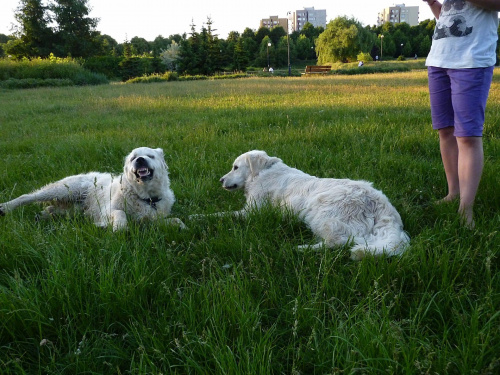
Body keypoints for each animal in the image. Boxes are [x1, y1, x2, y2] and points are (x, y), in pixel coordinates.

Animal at [0, 147, 186, 232]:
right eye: (133, 158)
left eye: (150, 156)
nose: (140, 160)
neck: (146, 197)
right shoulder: (108, 210)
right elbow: (120, 213)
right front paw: (119, 227)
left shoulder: (151, 219)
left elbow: (176, 220)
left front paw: (183, 227)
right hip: (65, 189)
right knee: (27, 196)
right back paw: (5, 207)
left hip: (74, 208)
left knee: (55, 209)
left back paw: (44, 215)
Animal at [219, 151, 410, 260]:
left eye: (235, 167)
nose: (220, 180)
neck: (262, 171)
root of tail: (383, 206)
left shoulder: (252, 212)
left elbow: (221, 214)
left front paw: (210, 217)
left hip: (321, 212)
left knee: (337, 243)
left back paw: (298, 249)